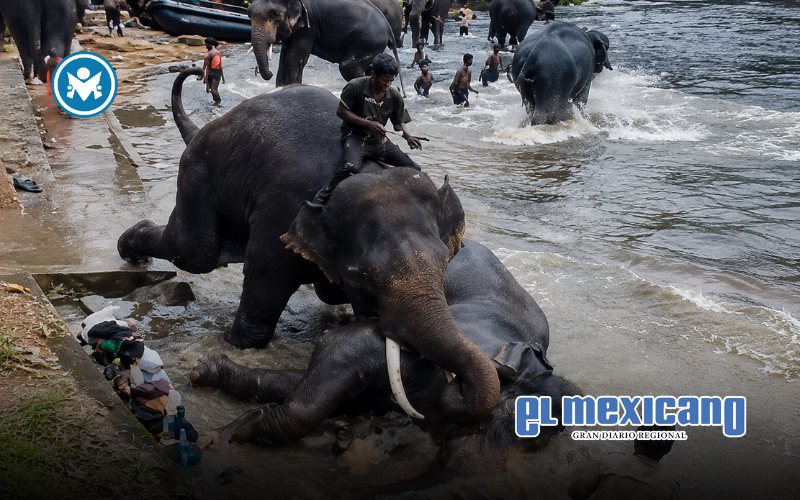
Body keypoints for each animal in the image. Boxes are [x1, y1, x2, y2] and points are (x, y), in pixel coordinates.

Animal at [118, 69, 501, 423]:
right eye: (362, 277)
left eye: (445, 263)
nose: (457, 388)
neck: (369, 170)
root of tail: (201, 130)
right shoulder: (282, 211)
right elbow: (267, 275)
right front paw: (234, 342)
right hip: (197, 174)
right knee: (195, 252)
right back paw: (129, 249)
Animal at [248, 0, 401, 86]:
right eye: (249, 14)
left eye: (273, 14)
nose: (268, 73)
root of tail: (388, 28)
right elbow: (284, 58)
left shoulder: (308, 27)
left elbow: (295, 59)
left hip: (368, 41)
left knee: (348, 68)